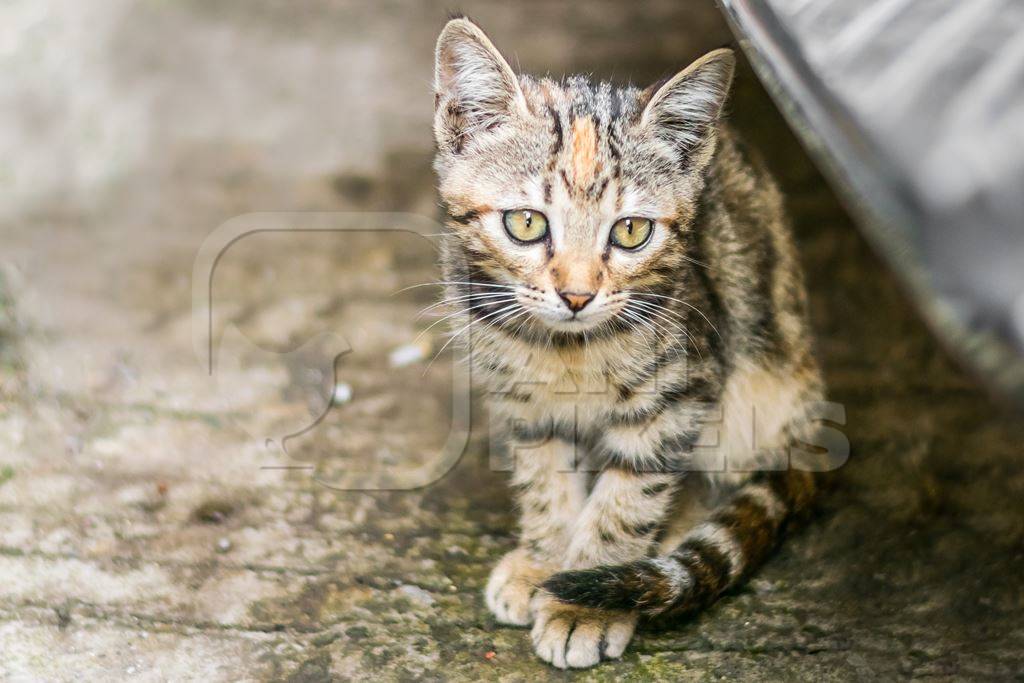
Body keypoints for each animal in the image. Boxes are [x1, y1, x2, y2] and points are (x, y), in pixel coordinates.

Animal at [430, 17, 823, 671]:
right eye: (526, 223)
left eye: (632, 231)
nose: (577, 295)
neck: (568, 351)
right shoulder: (520, 396)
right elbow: (543, 476)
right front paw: (544, 560)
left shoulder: (681, 391)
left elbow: (629, 496)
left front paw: (581, 602)